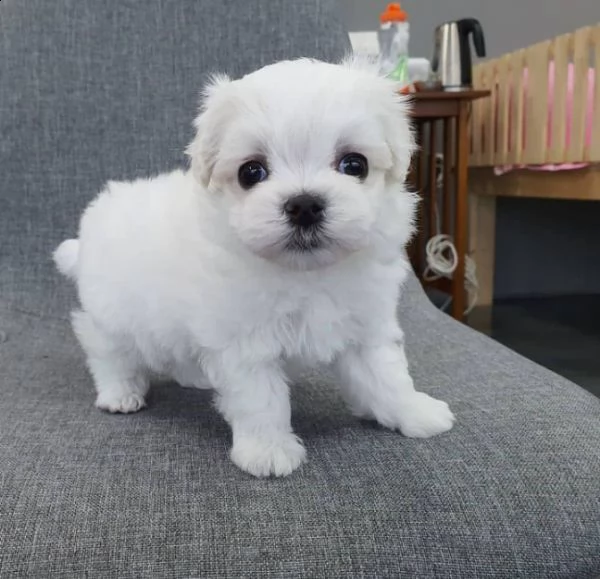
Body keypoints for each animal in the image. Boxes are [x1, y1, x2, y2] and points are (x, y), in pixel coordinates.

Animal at [55, 57, 454, 480]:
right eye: (251, 172)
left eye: (354, 165)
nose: (304, 205)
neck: (304, 272)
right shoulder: (245, 344)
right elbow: (262, 399)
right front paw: (268, 450)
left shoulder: (365, 326)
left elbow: (387, 374)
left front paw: (415, 411)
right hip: (112, 314)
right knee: (108, 352)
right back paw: (119, 393)